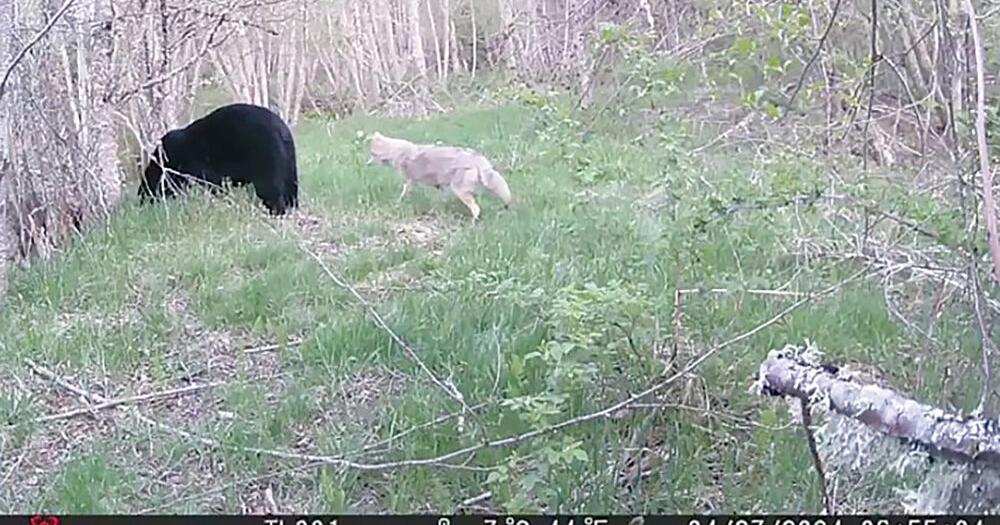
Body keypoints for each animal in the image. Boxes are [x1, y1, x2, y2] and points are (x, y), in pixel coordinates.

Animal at [138, 103, 299, 215]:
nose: (142, 202)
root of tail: (282, 130)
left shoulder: (200, 169)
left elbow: (214, 185)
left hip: (266, 159)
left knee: (271, 190)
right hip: (290, 165)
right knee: (291, 189)